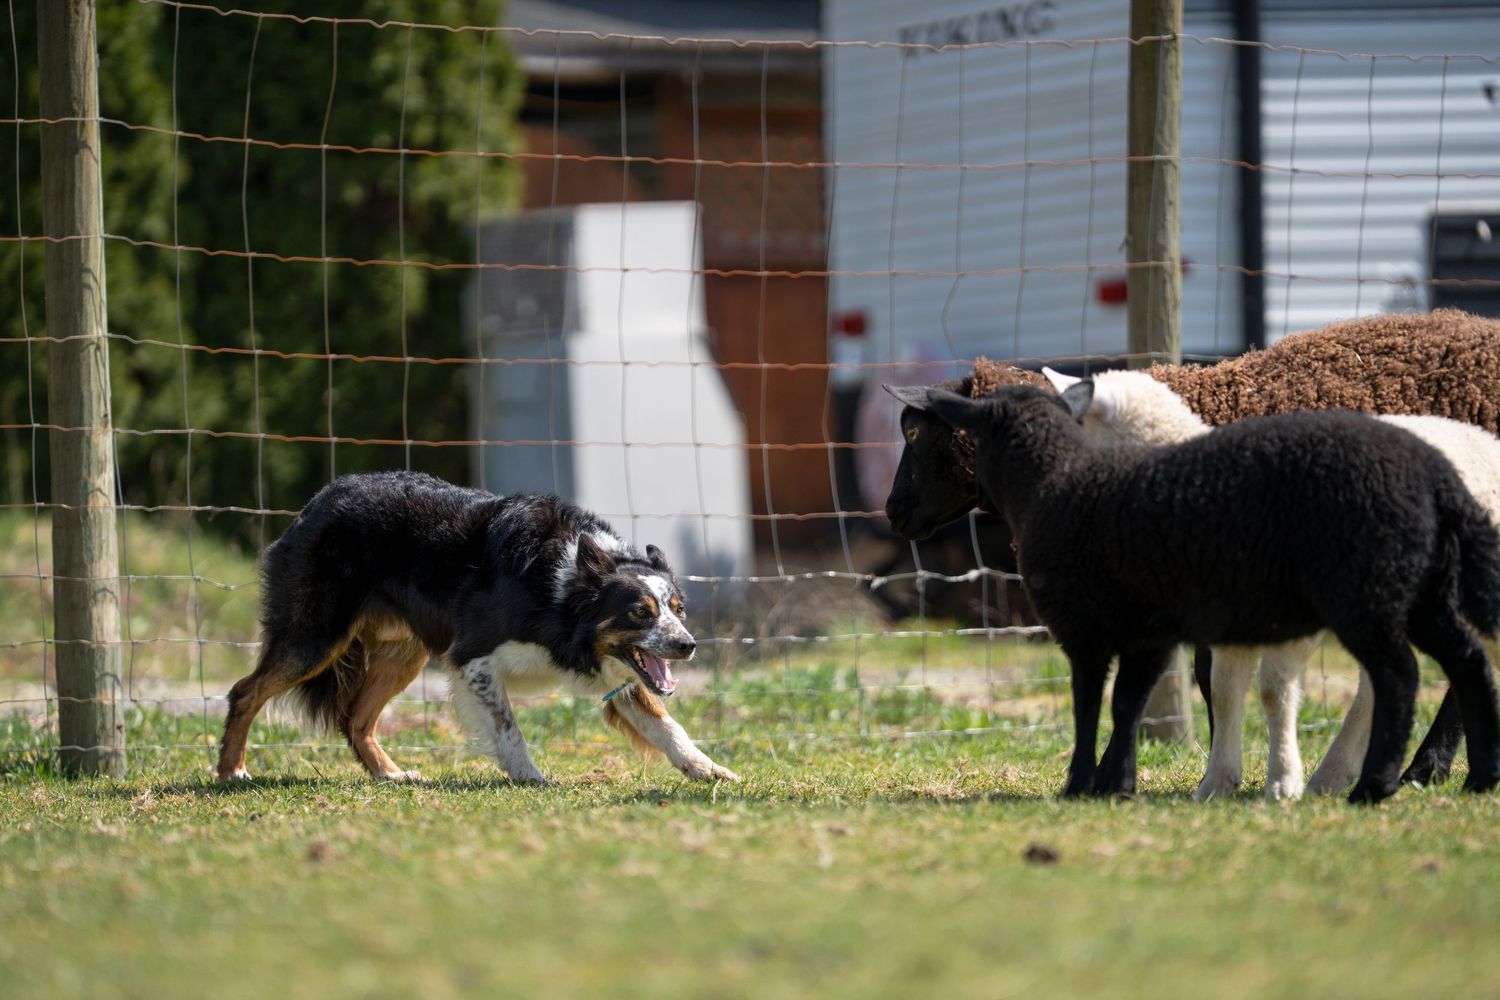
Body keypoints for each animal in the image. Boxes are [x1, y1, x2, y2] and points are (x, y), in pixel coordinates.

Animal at [890, 379, 1500, 804]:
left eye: (921, 435)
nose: (894, 512)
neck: (1062, 483)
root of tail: (1440, 472)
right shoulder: (1168, 631)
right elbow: (1185, 695)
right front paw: (1188, 780)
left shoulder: (1090, 630)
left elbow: (1096, 702)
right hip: (1419, 593)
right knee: (1460, 663)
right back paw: (1458, 777)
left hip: (1364, 591)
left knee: (1401, 676)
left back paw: (1382, 779)